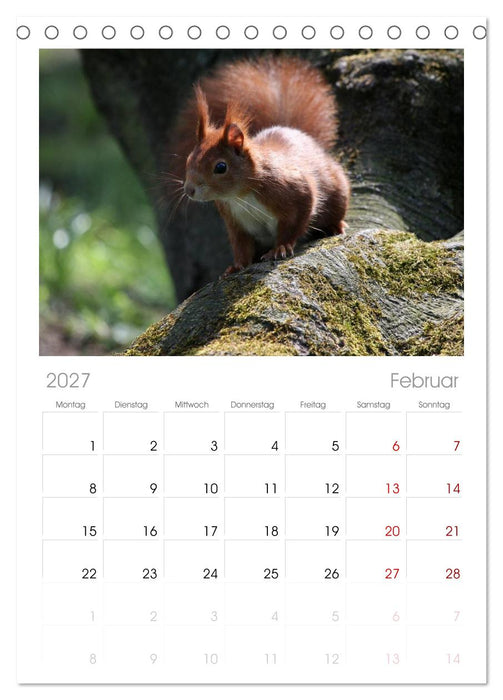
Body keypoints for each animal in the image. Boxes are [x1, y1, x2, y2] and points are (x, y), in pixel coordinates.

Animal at [171, 55, 350, 276]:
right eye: (188, 159)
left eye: (220, 167)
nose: (189, 190)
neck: (241, 195)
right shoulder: (235, 221)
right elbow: (241, 245)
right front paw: (237, 265)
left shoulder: (296, 191)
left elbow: (295, 223)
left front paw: (281, 247)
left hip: (337, 190)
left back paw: (335, 226)